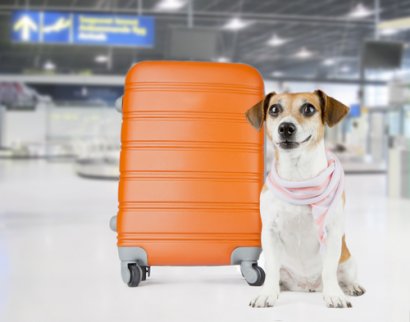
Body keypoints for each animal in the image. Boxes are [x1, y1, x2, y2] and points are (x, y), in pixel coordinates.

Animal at [243, 90, 366, 306]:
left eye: (309, 108)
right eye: (274, 109)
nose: (286, 127)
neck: (298, 178)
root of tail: (307, 286)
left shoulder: (332, 232)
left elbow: (329, 270)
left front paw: (334, 295)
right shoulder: (270, 232)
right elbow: (272, 271)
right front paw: (267, 294)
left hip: (348, 261)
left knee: (343, 276)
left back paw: (351, 287)